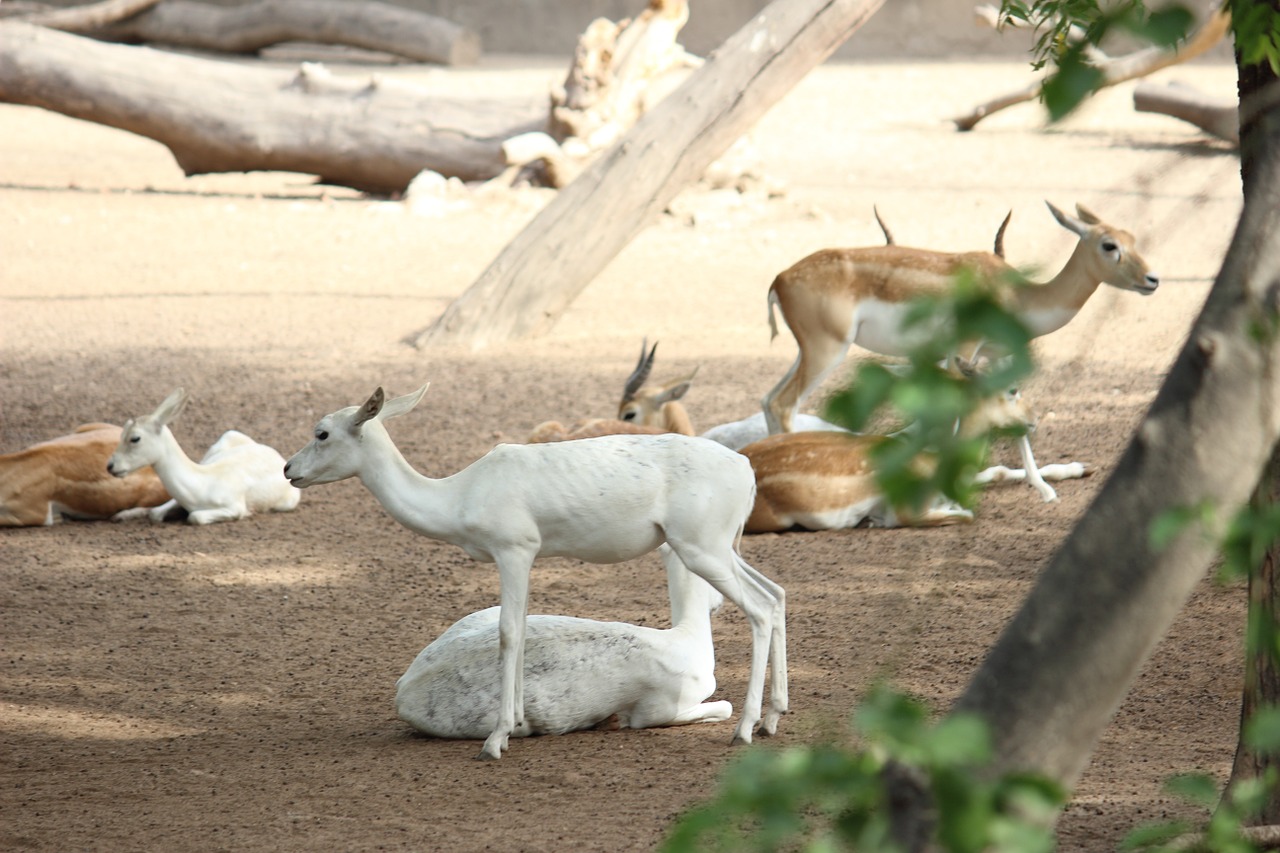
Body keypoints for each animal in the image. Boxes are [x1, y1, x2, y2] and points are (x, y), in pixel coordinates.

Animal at [107, 386, 302, 522]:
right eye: (122, 432)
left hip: (287, 503)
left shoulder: (233, 507)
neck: (202, 486)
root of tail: (276, 454)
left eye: (135, 438)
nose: (110, 466)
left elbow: (195, 517)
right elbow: (155, 513)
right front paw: (121, 515)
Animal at [394, 545, 732, 737]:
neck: (687, 641)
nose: (719, 602)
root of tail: (404, 688)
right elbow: (725, 707)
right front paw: (613, 721)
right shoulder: (657, 710)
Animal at [757, 199, 1162, 499]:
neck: (1016, 293)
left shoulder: (997, 358)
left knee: (768, 399)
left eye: (1132, 238)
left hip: (807, 352)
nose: (1152, 279)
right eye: (1109, 245)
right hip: (827, 350)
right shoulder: (961, 353)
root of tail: (779, 279)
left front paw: (1044, 489)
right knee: (784, 405)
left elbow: (1015, 420)